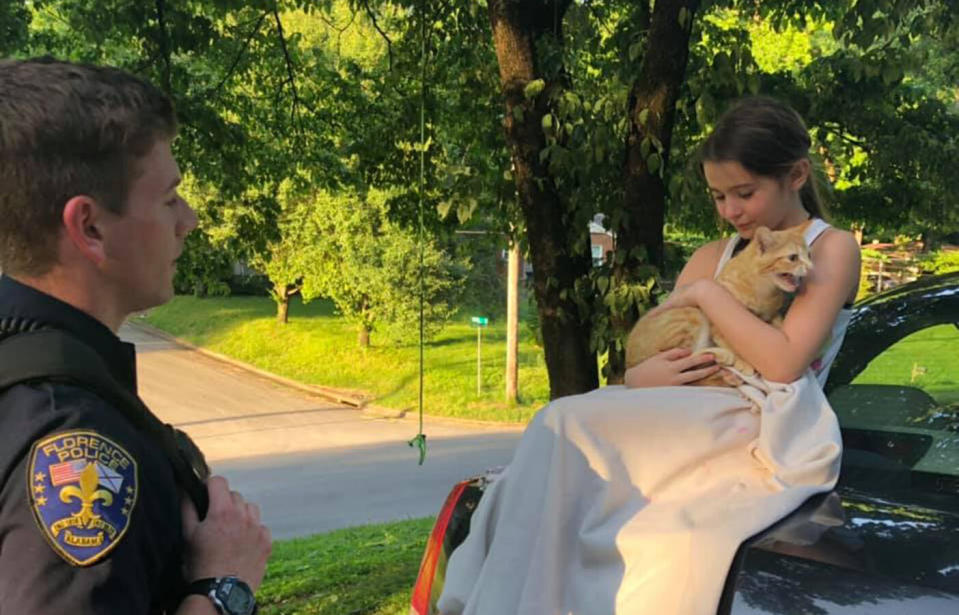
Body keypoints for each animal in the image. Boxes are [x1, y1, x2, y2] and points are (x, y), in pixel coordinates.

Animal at [628, 223, 812, 384]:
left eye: (809, 255)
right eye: (793, 258)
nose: (811, 268)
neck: (763, 290)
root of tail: (629, 362)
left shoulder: (772, 314)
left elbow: (778, 326)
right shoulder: (719, 319)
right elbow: (733, 342)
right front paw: (743, 361)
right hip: (691, 314)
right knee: (686, 359)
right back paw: (722, 358)